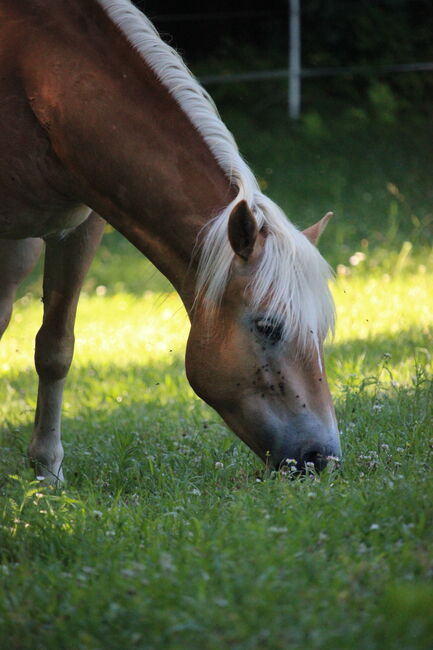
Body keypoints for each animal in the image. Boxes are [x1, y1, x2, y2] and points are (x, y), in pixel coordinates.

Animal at [0, 0, 340, 480]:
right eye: (268, 326)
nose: (321, 458)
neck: (40, 69)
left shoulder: (82, 225)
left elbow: (55, 348)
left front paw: (47, 471)